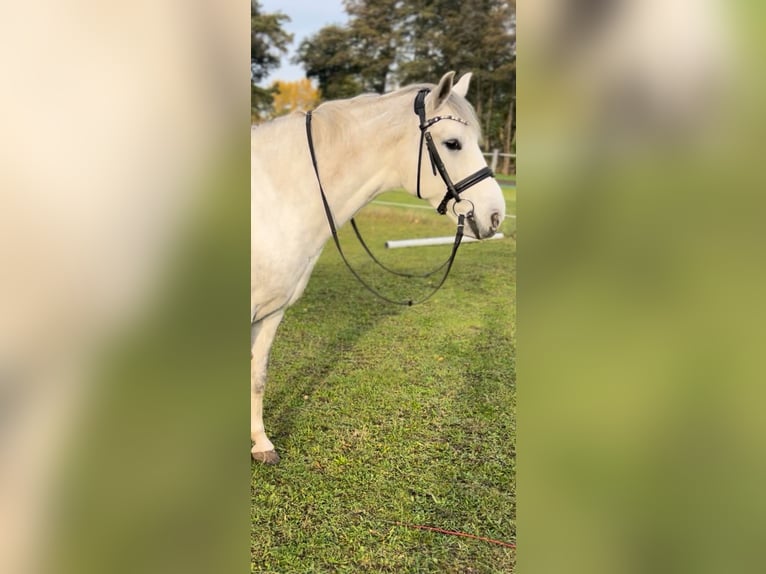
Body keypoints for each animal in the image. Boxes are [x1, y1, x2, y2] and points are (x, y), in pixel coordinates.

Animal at [251, 71, 506, 463]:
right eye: (452, 143)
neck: (275, 199)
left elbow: (258, 375)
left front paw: (260, 444)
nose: (496, 215)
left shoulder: (271, 311)